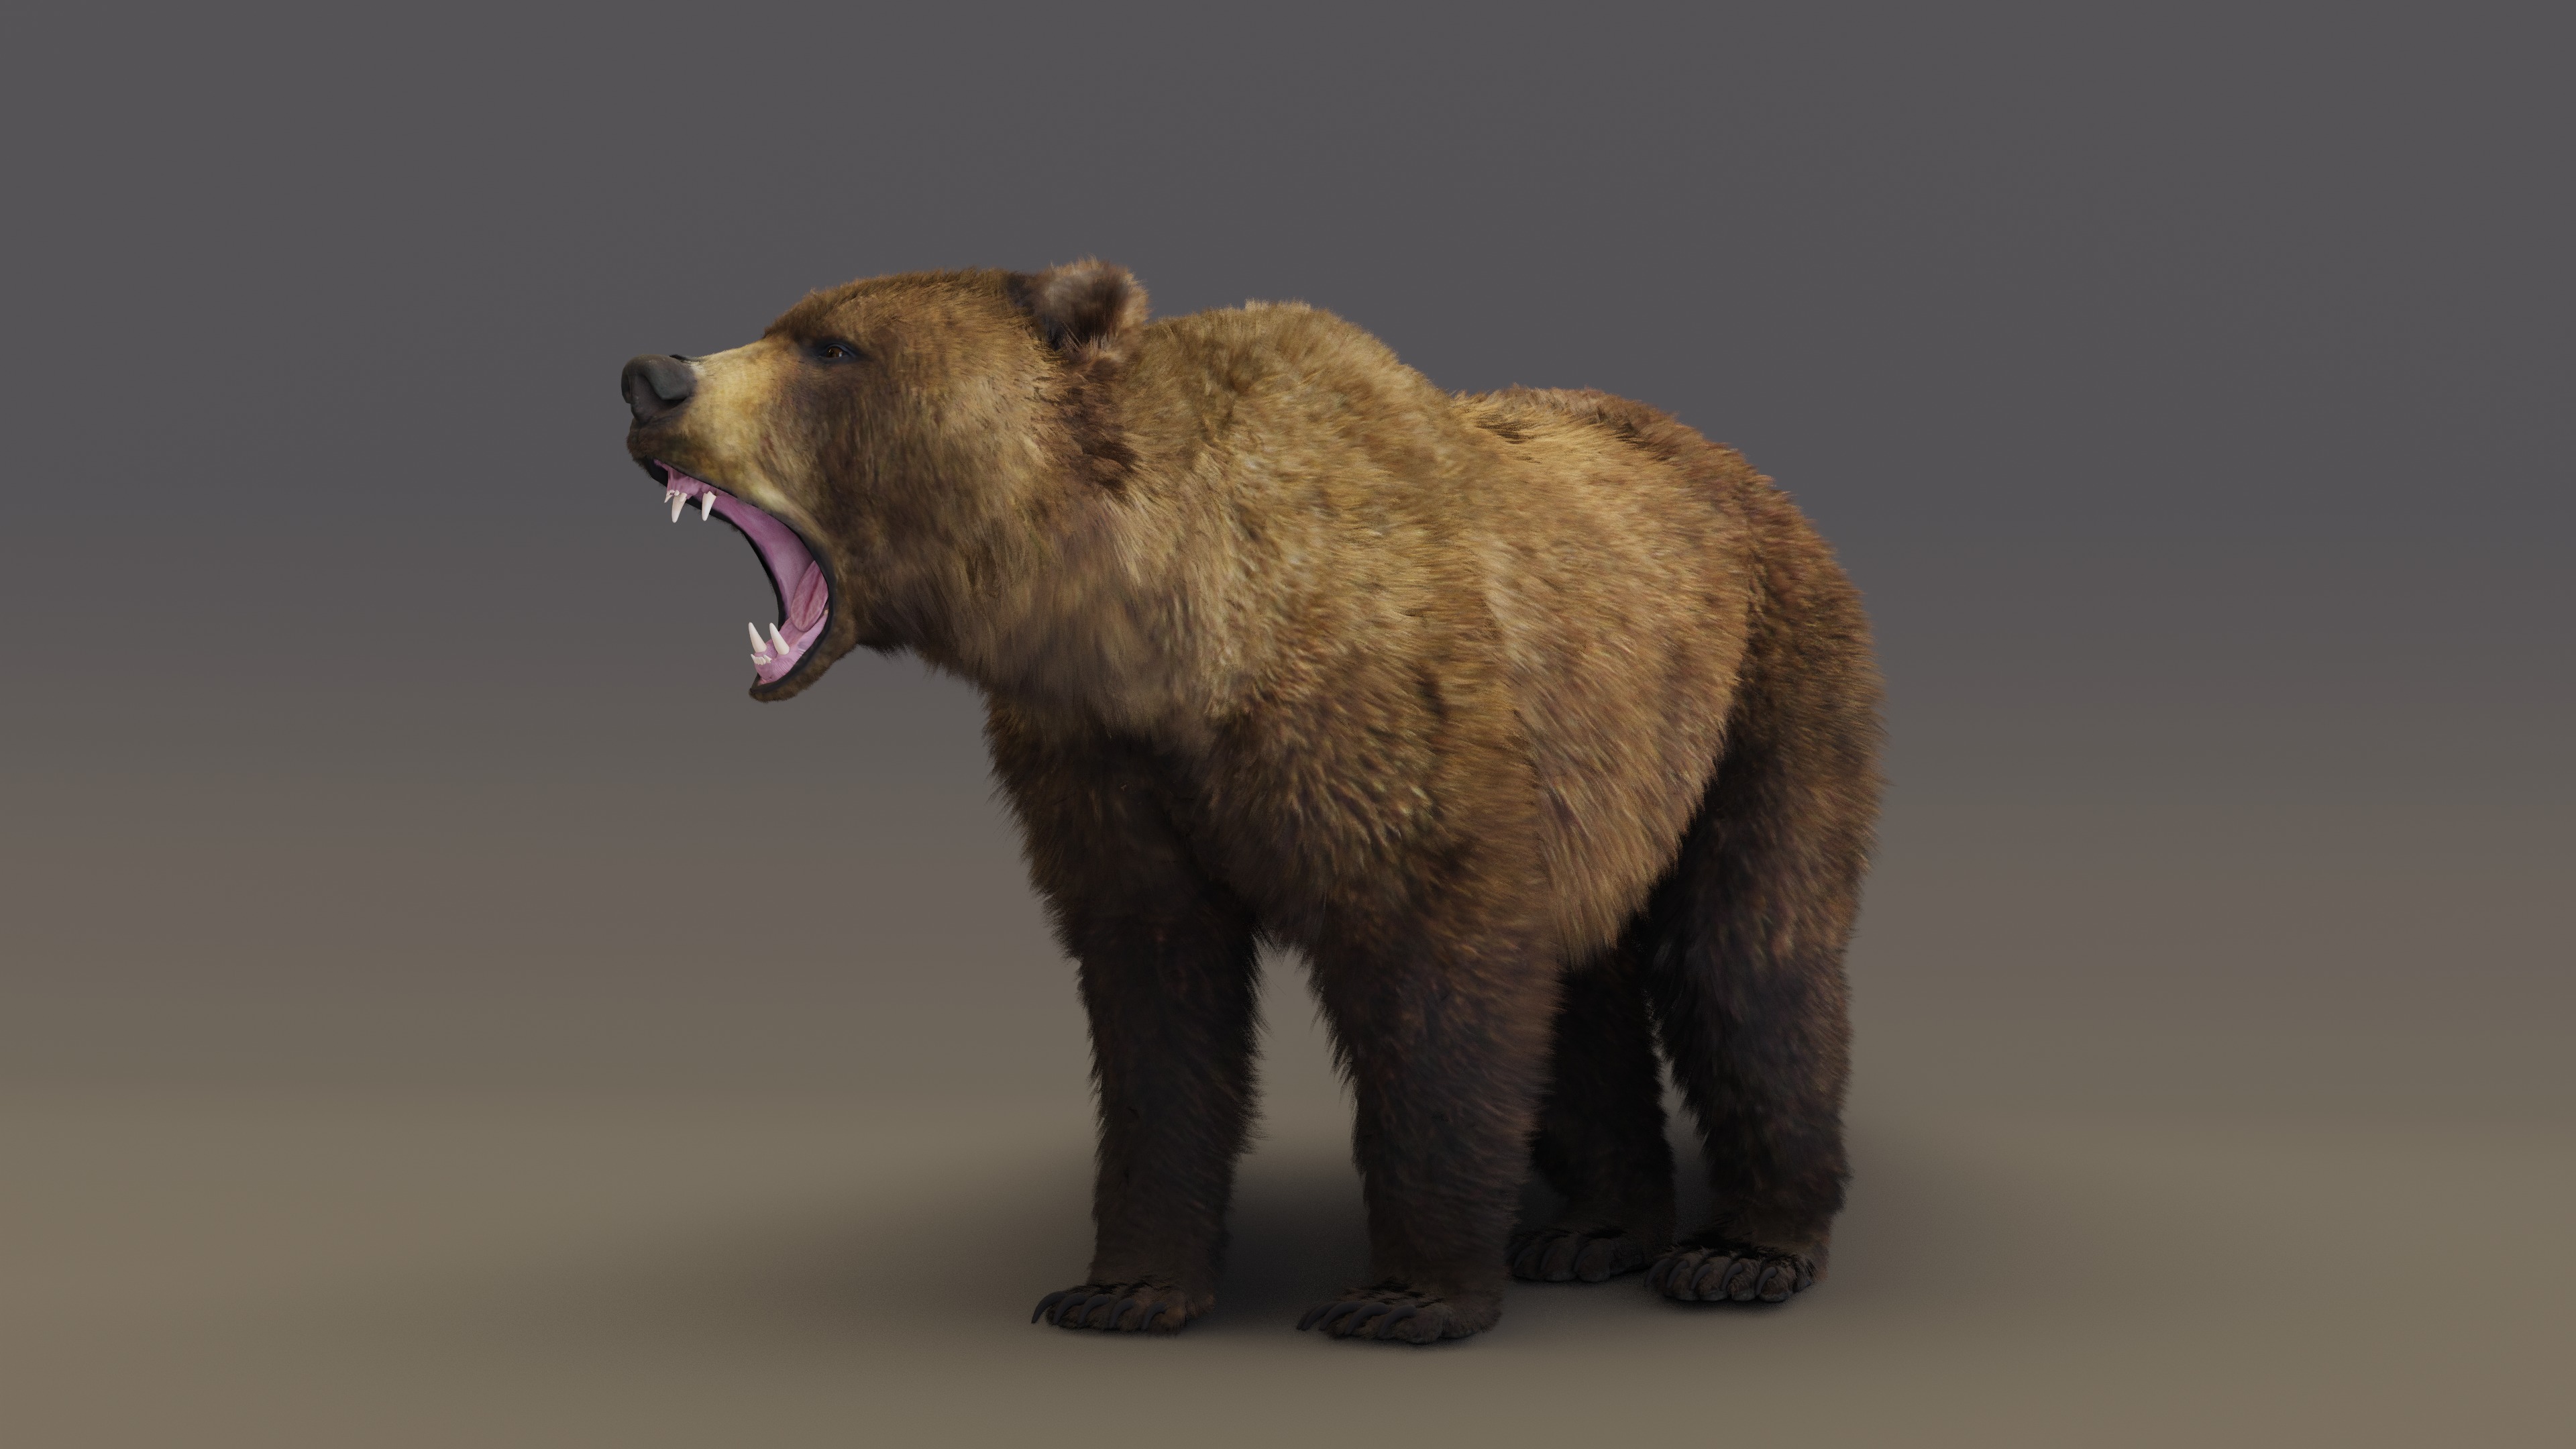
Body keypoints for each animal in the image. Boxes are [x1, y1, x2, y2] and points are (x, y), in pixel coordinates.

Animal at [618, 261, 1881, 1343]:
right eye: (790, 322)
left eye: (832, 345)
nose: (650, 376)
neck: (1165, 631)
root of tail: (1733, 462)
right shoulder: (1101, 771)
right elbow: (1157, 1016)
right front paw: (1124, 1287)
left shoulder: (1387, 732)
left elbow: (1435, 985)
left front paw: (1404, 1297)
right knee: (1587, 971)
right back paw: (1593, 1230)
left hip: (1767, 678)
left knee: (1750, 952)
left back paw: (1744, 1251)